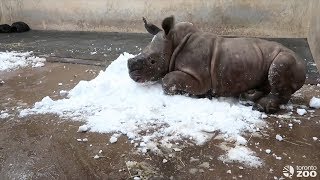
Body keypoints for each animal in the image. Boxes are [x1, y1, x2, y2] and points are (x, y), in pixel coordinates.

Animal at [127, 16, 304, 113]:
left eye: (152, 61)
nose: (129, 71)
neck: (174, 43)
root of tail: (304, 64)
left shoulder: (199, 79)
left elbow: (168, 79)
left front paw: (188, 94)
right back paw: (247, 96)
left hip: (287, 59)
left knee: (279, 67)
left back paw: (261, 106)